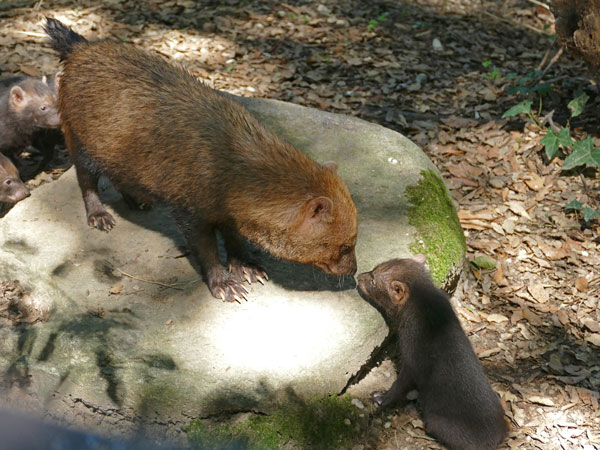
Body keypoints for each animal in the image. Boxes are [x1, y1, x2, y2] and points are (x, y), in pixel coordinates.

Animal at [45, 19, 356, 304]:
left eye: (352, 240)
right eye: (344, 245)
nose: (354, 272)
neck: (228, 166)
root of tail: (81, 48)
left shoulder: (230, 216)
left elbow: (234, 240)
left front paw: (248, 267)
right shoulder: (190, 213)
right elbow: (207, 251)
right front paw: (225, 285)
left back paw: (137, 200)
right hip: (79, 141)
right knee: (86, 180)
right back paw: (99, 216)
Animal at [358, 255, 508, 450]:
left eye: (373, 280)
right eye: (373, 269)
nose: (358, 276)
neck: (425, 303)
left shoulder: (411, 358)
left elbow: (399, 385)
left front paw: (380, 397)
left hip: (437, 421)